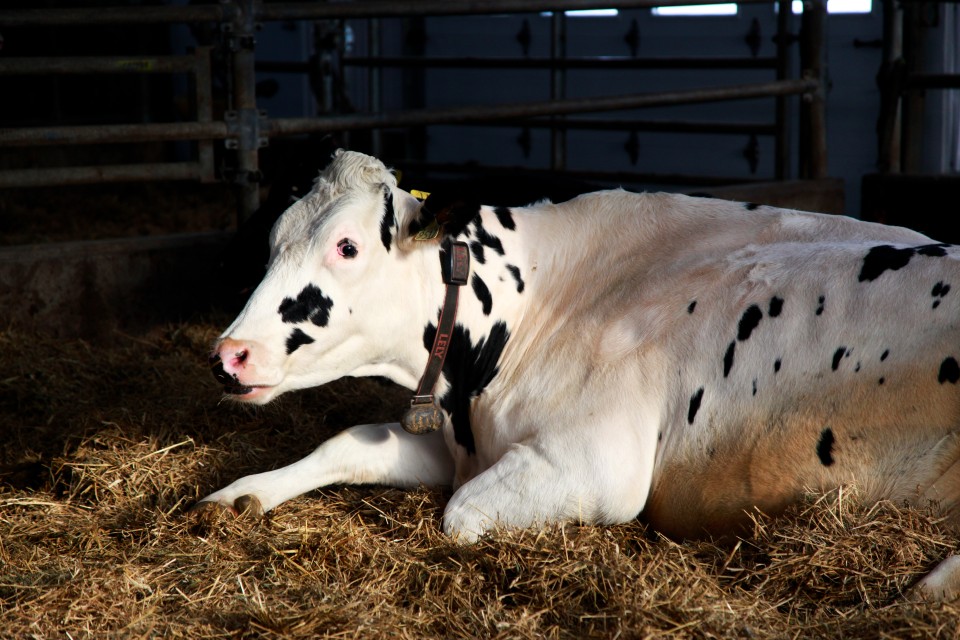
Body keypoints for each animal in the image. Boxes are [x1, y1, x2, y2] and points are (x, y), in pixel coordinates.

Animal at [199, 149, 960, 600]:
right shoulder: (463, 442)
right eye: (274, 240)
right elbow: (349, 442)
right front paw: (239, 495)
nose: (229, 354)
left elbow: (459, 513)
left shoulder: (594, 464)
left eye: (348, 246)